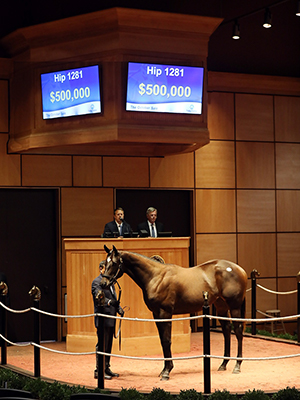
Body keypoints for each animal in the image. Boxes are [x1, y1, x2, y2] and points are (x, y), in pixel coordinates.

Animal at [100, 245, 246, 380]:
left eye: (114, 263)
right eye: (105, 262)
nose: (103, 283)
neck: (156, 277)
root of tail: (240, 269)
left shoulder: (165, 313)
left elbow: (167, 340)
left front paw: (166, 371)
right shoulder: (156, 315)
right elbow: (162, 341)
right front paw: (164, 369)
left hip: (234, 307)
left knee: (238, 331)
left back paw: (237, 366)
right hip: (221, 307)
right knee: (227, 331)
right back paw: (224, 364)